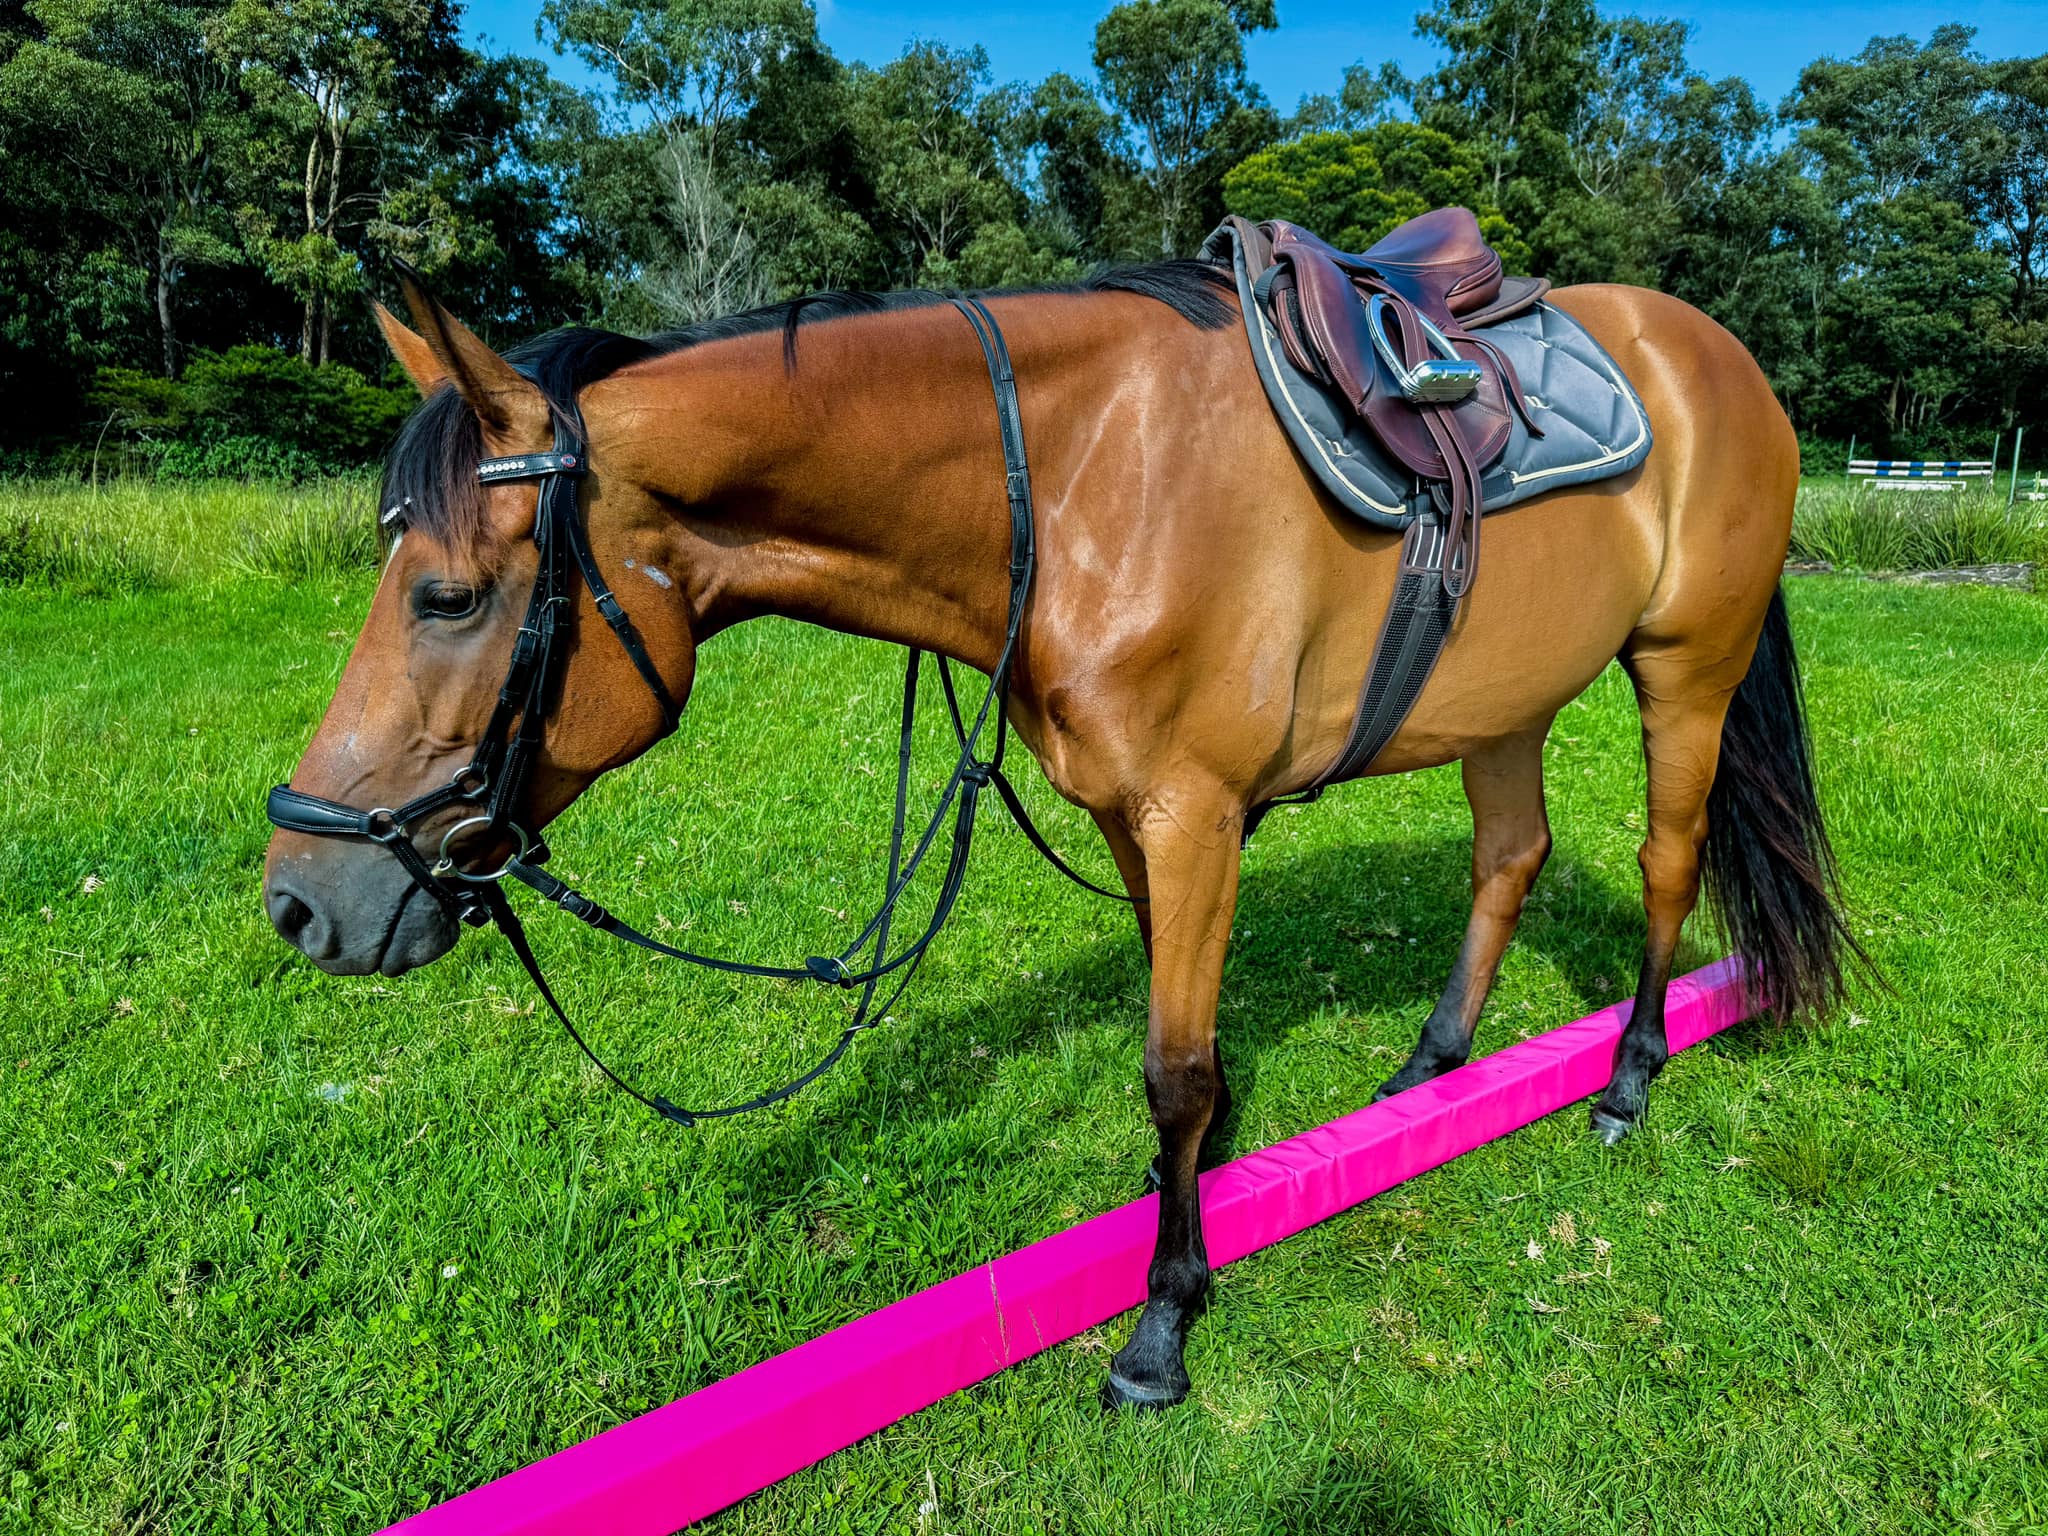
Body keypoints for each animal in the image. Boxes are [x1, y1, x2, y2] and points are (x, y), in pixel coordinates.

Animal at [256, 259, 1859, 1417]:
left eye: (449, 596)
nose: (300, 898)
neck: (1081, 483)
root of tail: (1719, 358)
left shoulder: (1195, 815)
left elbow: (1173, 1070)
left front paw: (1160, 1326)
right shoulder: (1140, 826)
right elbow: (1186, 1060)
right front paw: (1198, 1214)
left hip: (1686, 669)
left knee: (1662, 864)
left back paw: (1629, 1079)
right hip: (1508, 696)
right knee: (1507, 857)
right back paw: (1431, 1069)